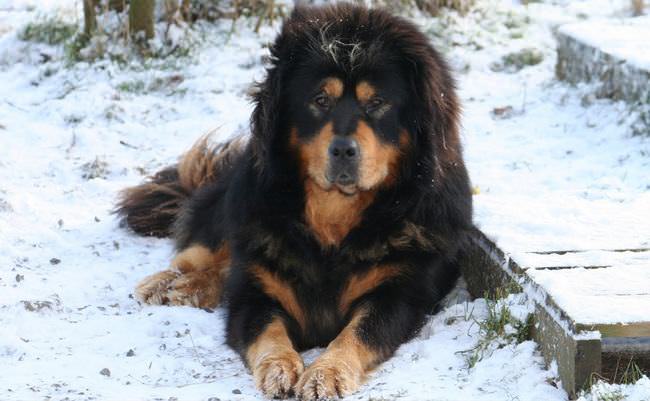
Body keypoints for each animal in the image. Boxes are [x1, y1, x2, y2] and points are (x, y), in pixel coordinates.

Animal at [116, 2, 470, 396]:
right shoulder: (255, 290)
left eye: (377, 102)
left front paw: (326, 373)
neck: (333, 218)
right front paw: (279, 366)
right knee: (204, 251)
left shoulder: (398, 294)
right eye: (320, 100)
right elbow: (266, 328)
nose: (343, 149)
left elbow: (357, 333)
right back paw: (171, 282)